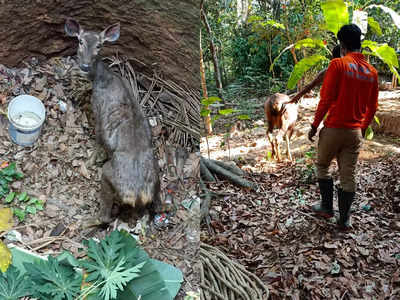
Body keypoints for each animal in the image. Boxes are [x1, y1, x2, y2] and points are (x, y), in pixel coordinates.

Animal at [64, 18, 161, 224]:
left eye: (99, 45)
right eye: (80, 41)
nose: (84, 66)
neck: (101, 78)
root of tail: (137, 194)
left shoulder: (98, 110)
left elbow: (98, 140)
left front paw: (89, 162)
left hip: (108, 175)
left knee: (105, 218)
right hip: (157, 175)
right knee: (159, 206)